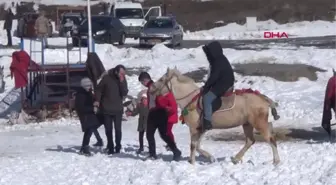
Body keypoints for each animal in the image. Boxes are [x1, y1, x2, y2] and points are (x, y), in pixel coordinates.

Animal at [150, 67, 280, 165]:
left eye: (162, 79)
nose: (151, 88)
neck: (191, 99)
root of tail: (263, 98)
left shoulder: (194, 129)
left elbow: (193, 145)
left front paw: (192, 162)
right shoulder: (201, 129)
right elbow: (197, 145)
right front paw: (209, 158)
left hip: (259, 123)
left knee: (270, 139)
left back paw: (276, 161)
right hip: (247, 124)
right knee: (250, 141)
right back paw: (236, 159)